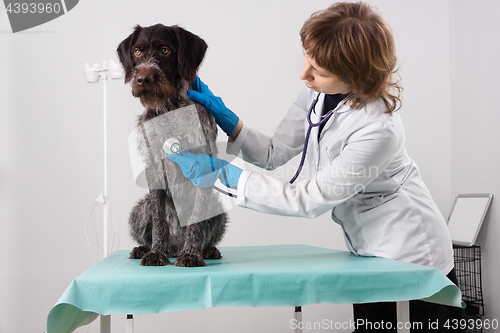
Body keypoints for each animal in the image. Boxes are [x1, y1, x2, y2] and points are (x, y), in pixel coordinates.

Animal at [117, 24, 229, 268]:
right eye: (137, 51)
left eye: (165, 50)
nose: (143, 78)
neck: (170, 107)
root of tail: (175, 246)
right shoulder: (154, 168)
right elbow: (159, 221)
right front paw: (156, 252)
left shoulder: (203, 165)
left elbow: (196, 219)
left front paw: (192, 254)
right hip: (140, 209)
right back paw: (145, 248)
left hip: (218, 210)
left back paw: (206, 250)